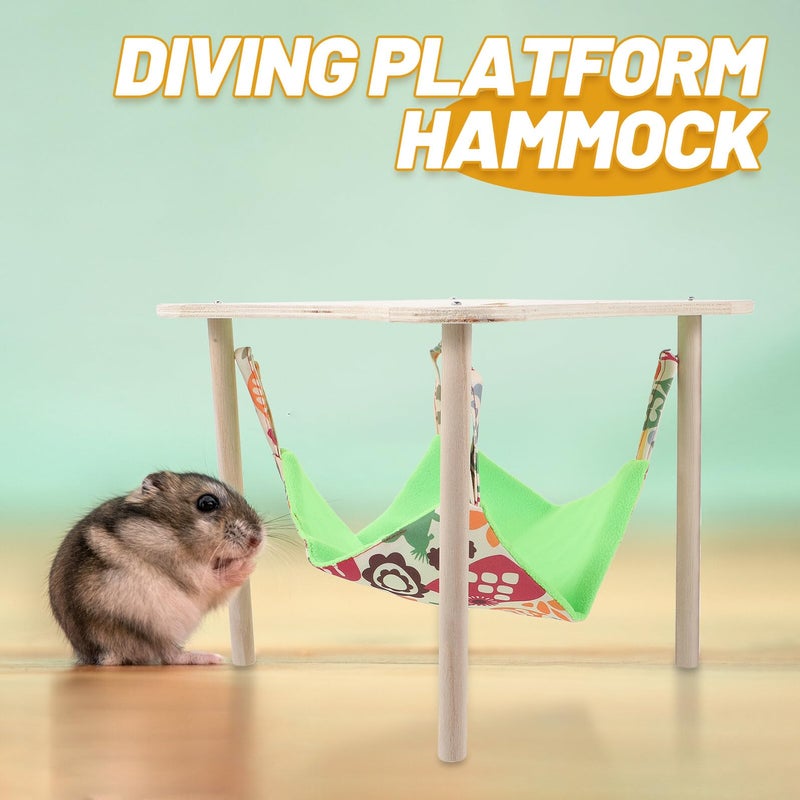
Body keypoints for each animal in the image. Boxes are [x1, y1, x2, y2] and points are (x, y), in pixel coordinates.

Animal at [48, 471, 264, 666]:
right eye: (207, 503)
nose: (257, 540)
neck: (173, 533)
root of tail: (103, 654)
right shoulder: (183, 566)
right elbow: (209, 577)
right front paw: (247, 565)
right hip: (151, 619)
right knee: (169, 655)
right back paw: (213, 658)